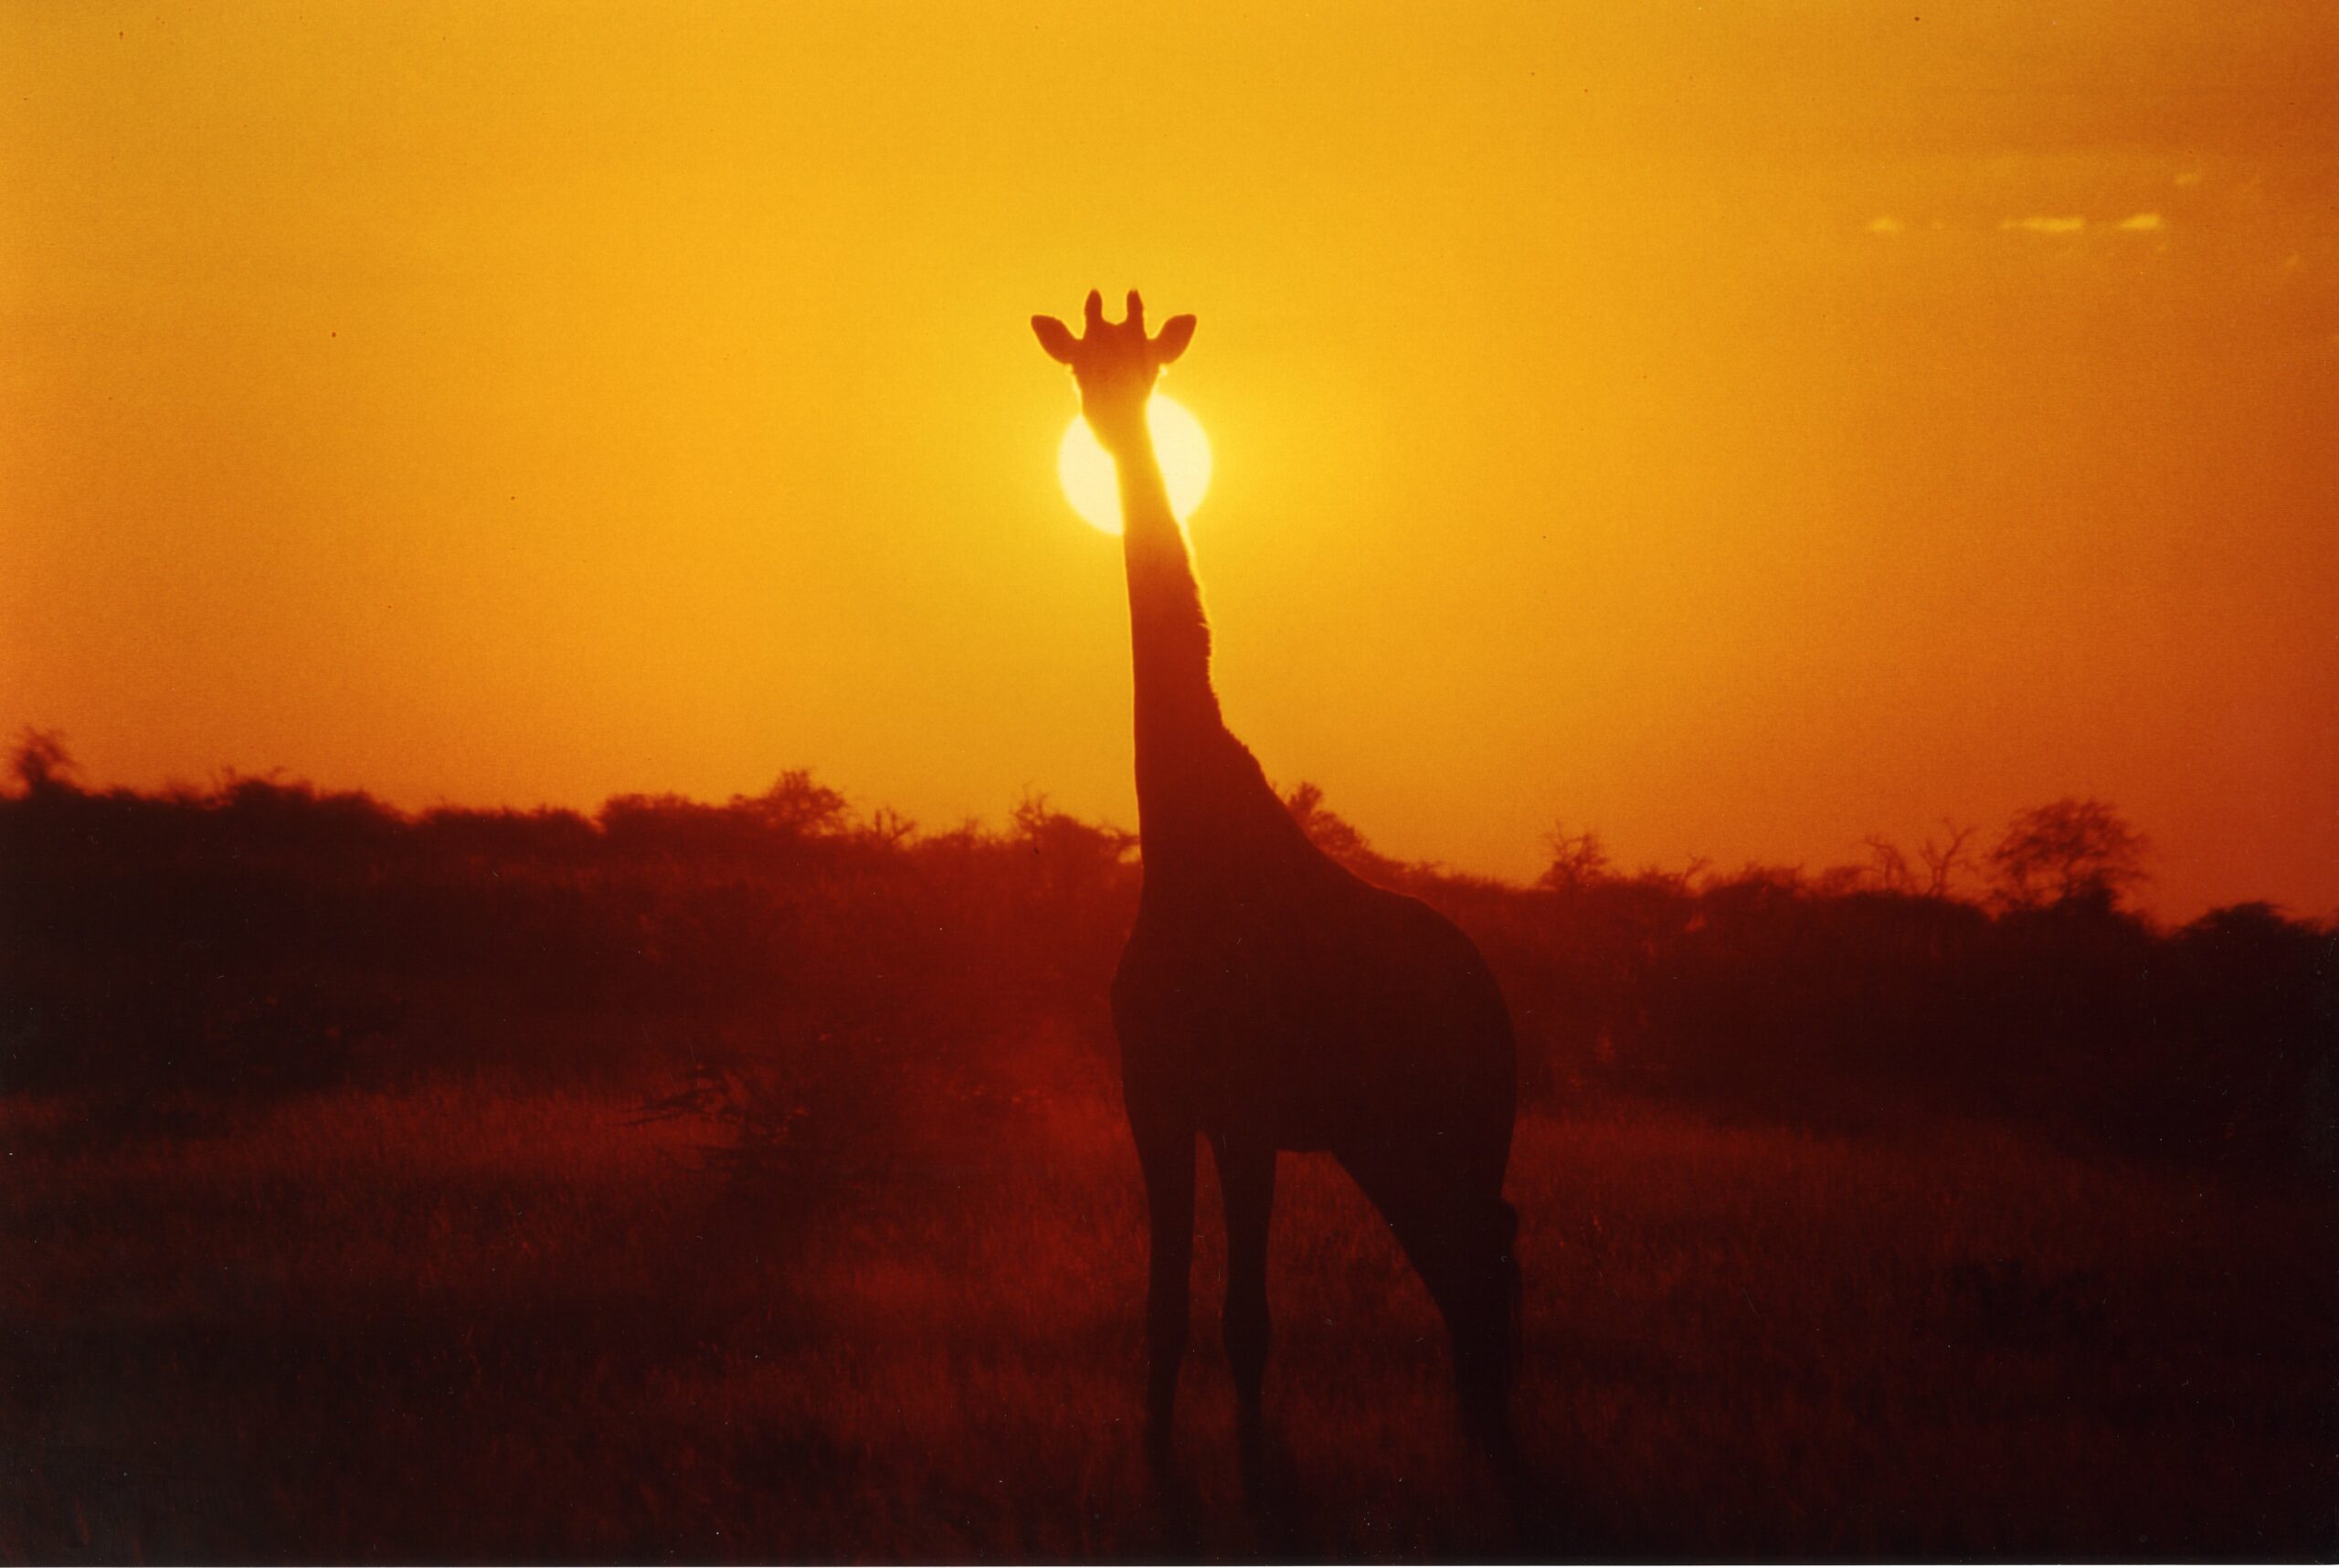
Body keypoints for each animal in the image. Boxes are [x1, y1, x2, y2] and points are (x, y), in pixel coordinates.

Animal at [1032, 290, 1522, 1463]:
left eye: (1148, 370)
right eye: (1080, 368)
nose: (1110, 424)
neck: (1186, 840)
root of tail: (1497, 1005)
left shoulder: (1245, 1110)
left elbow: (1245, 1319)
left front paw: (1258, 1466)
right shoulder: (1155, 1097)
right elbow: (1164, 1310)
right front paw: (1158, 1457)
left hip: (1448, 1125)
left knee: (1480, 1257)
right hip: (1387, 1138)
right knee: (1474, 1258)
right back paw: (1482, 1426)